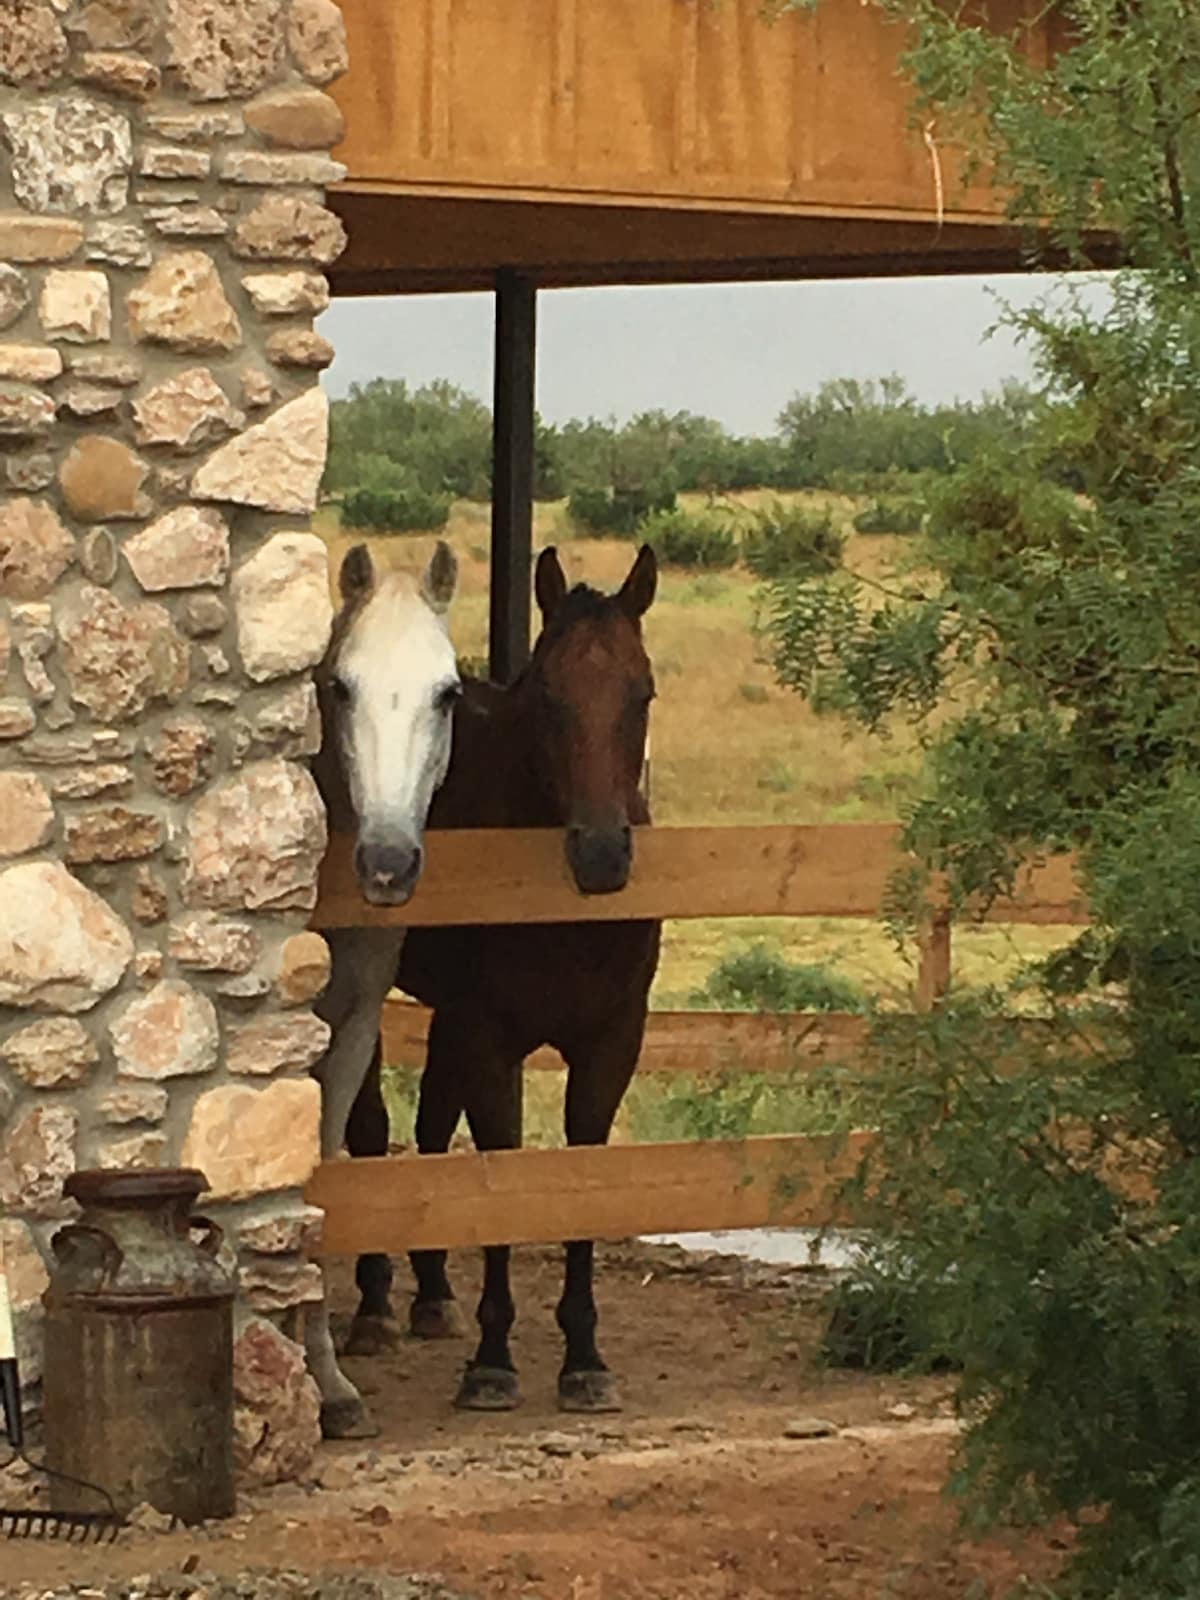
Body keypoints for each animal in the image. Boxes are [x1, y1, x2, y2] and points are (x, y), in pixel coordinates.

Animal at [342, 547, 662, 1414]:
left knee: (427, 1135)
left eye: (643, 692)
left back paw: (430, 1296)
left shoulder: (609, 1045)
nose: (601, 855)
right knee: (373, 1133)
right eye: (547, 696)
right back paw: (377, 1307)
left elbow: (574, 1168)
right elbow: (499, 1169)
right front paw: (494, 1360)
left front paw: (584, 1358)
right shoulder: (489, 1038)